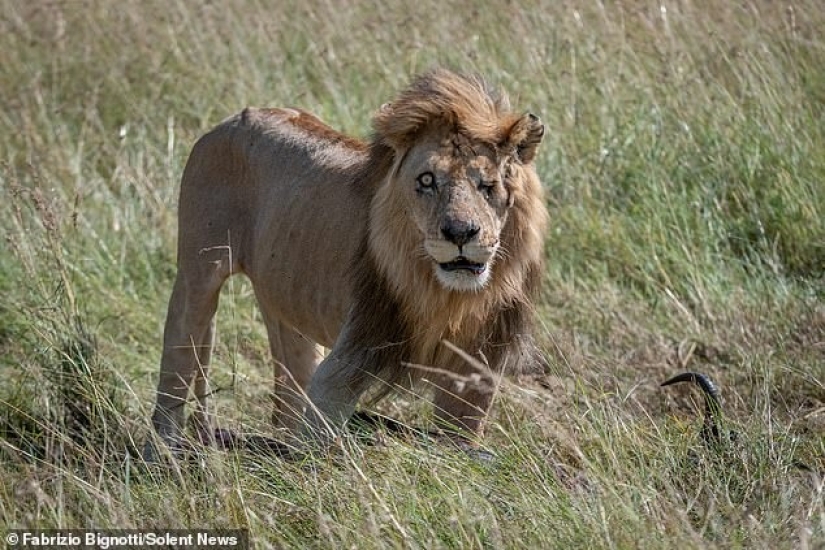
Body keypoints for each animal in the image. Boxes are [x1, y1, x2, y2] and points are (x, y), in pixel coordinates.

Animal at [146, 69, 547, 457]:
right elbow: (317, 444)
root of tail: (231, 119)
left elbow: (460, 443)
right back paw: (163, 453)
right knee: (177, 366)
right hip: (198, 274)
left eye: (488, 185)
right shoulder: (349, 357)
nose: (460, 232)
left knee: (288, 387)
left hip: (286, 300)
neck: (446, 296)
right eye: (427, 180)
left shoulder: (472, 377)